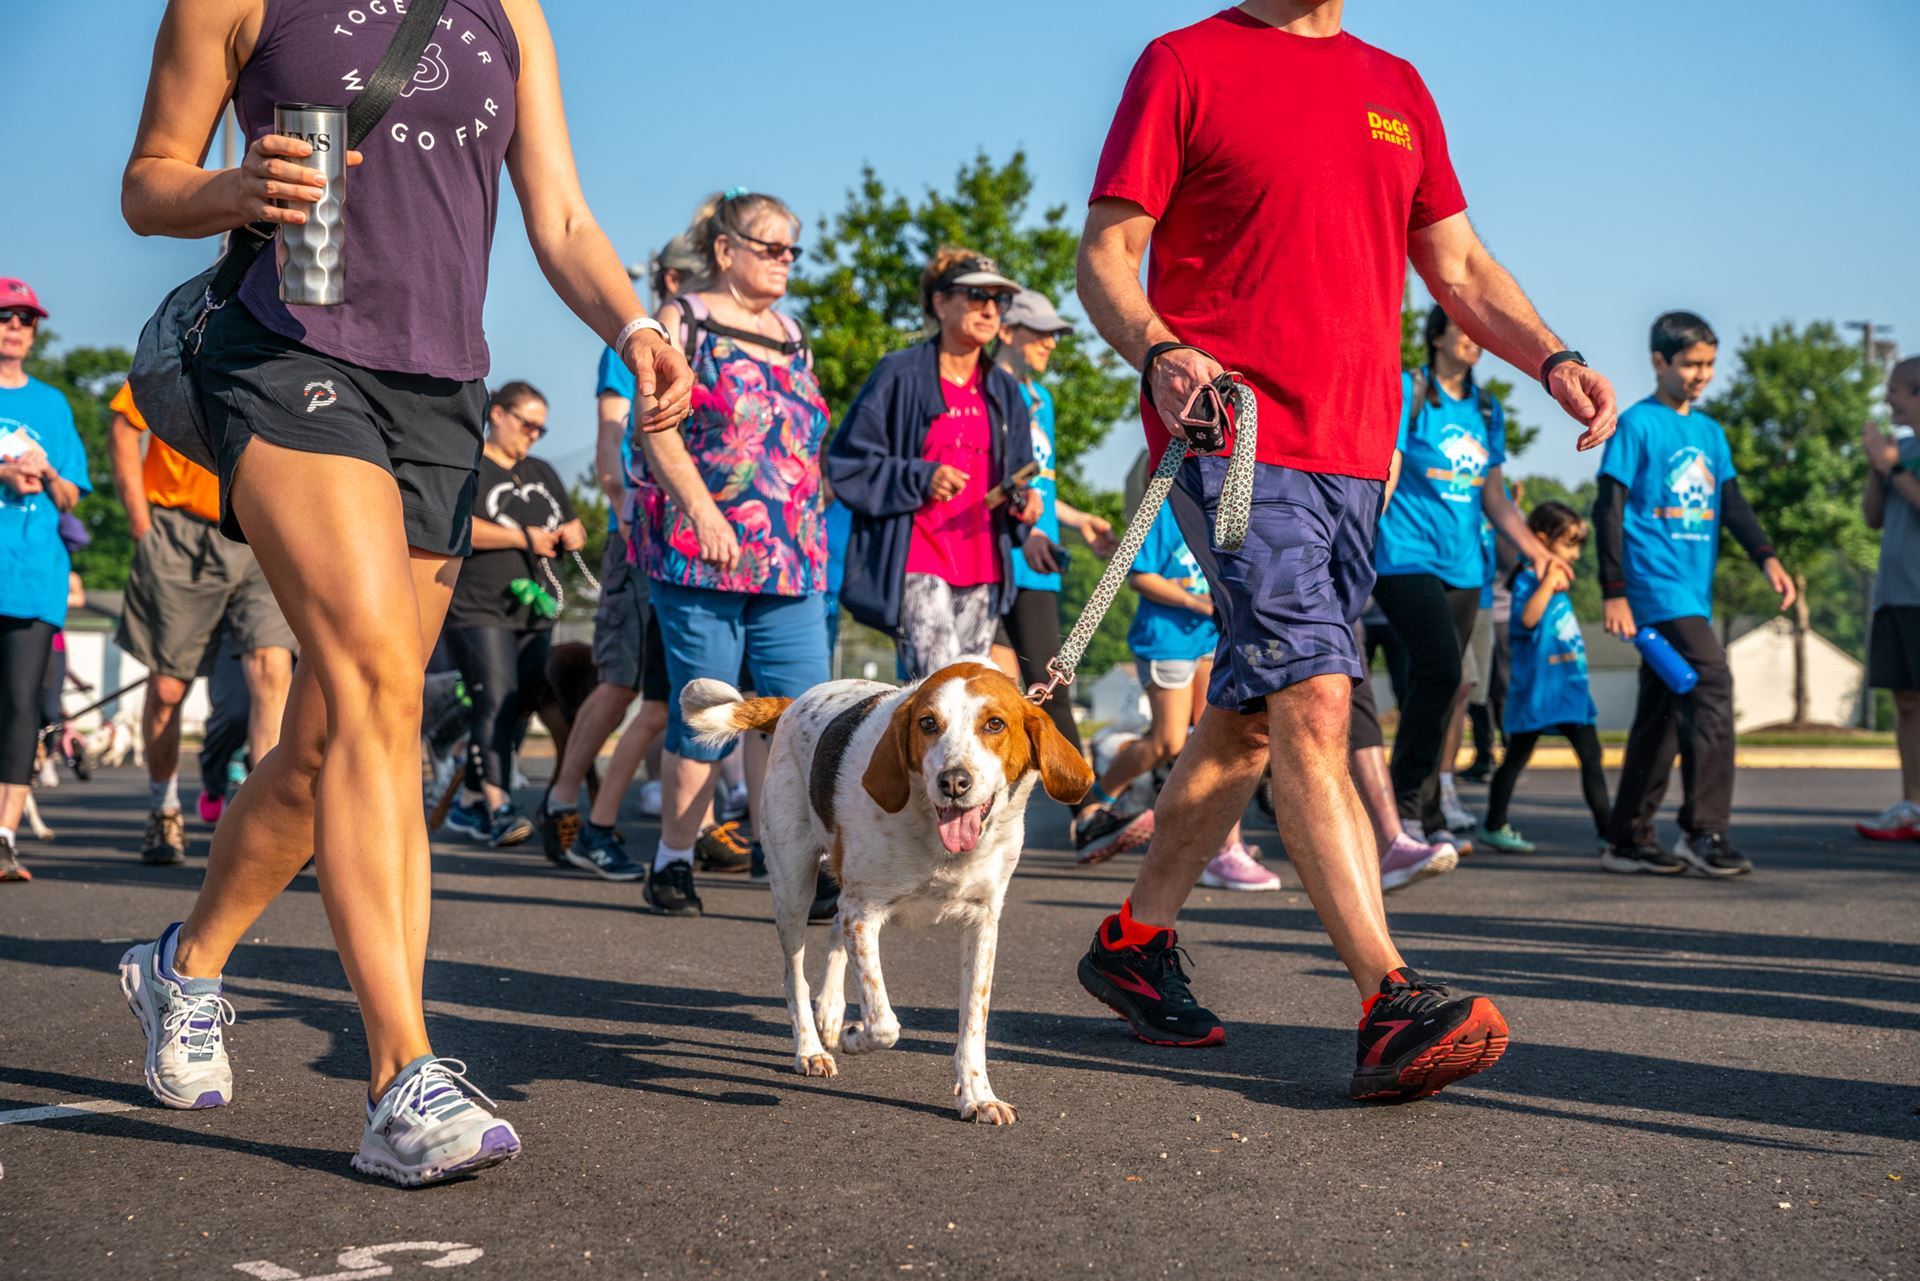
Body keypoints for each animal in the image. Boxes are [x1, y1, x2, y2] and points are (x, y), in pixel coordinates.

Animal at [687, 668, 1082, 1129]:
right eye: (928, 723)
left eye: (995, 724)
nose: (953, 781)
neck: (937, 842)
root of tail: (794, 703)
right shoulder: (864, 915)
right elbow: (884, 1024)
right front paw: (854, 1036)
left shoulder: (982, 924)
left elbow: (973, 1023)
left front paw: (978, 1096)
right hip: (792, 885)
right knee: (793, 975)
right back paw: (810, 1047)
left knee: (833, 932)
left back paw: (830, 1011)